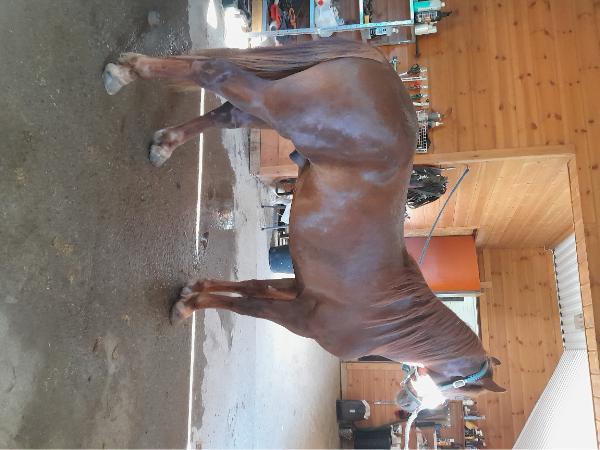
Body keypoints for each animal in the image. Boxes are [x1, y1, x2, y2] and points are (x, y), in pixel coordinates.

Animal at [102, 39, 506, 411]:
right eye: (461, 390)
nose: (407, 406)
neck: (388, 315)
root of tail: (385, 70)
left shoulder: (295, 289)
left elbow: (251, 287)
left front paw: (194, 291)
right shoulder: (299, 319)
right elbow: (248, 307)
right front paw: (187, 307)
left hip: (270, 110)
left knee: (226, 114)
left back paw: (163, 141)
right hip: (276, 106)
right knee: (216, 72)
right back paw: (124, 73)